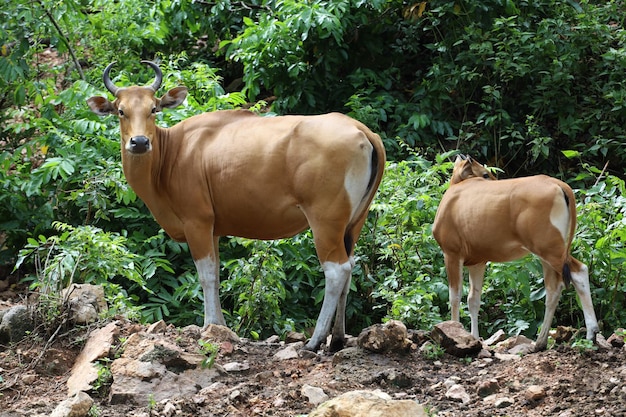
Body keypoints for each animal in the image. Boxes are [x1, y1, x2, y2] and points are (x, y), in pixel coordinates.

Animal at [85, 60, 382, 350]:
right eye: (121, 111)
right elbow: (216, 274)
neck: (173, 154)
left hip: (325, 221)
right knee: (350, 267)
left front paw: (209, 324)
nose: (139, 142)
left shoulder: (197, 222)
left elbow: (206, 275)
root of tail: (362, 130)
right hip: (354, 223)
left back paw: (316, 340)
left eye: (153, 109)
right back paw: (338, 338)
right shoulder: (213, 229)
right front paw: (220, 325)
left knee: (337, 271)